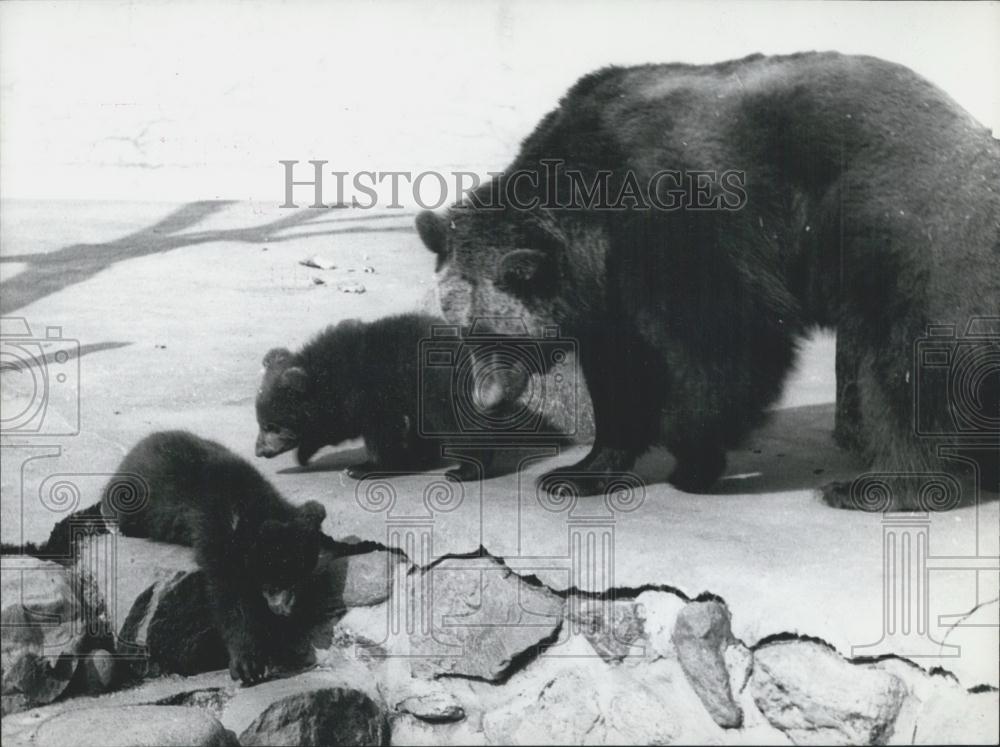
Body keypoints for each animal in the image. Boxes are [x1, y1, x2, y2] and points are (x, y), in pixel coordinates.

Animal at [418, 51, 996, 508]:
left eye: (494, 332)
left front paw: (694, 458)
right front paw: (576, 473)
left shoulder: (687, 220)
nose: (488, 397)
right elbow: (621, 372)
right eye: (462, 331)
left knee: (905, 363)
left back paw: (879, 485)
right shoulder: (609, 288)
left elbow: (726, 339)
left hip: (913, 238)